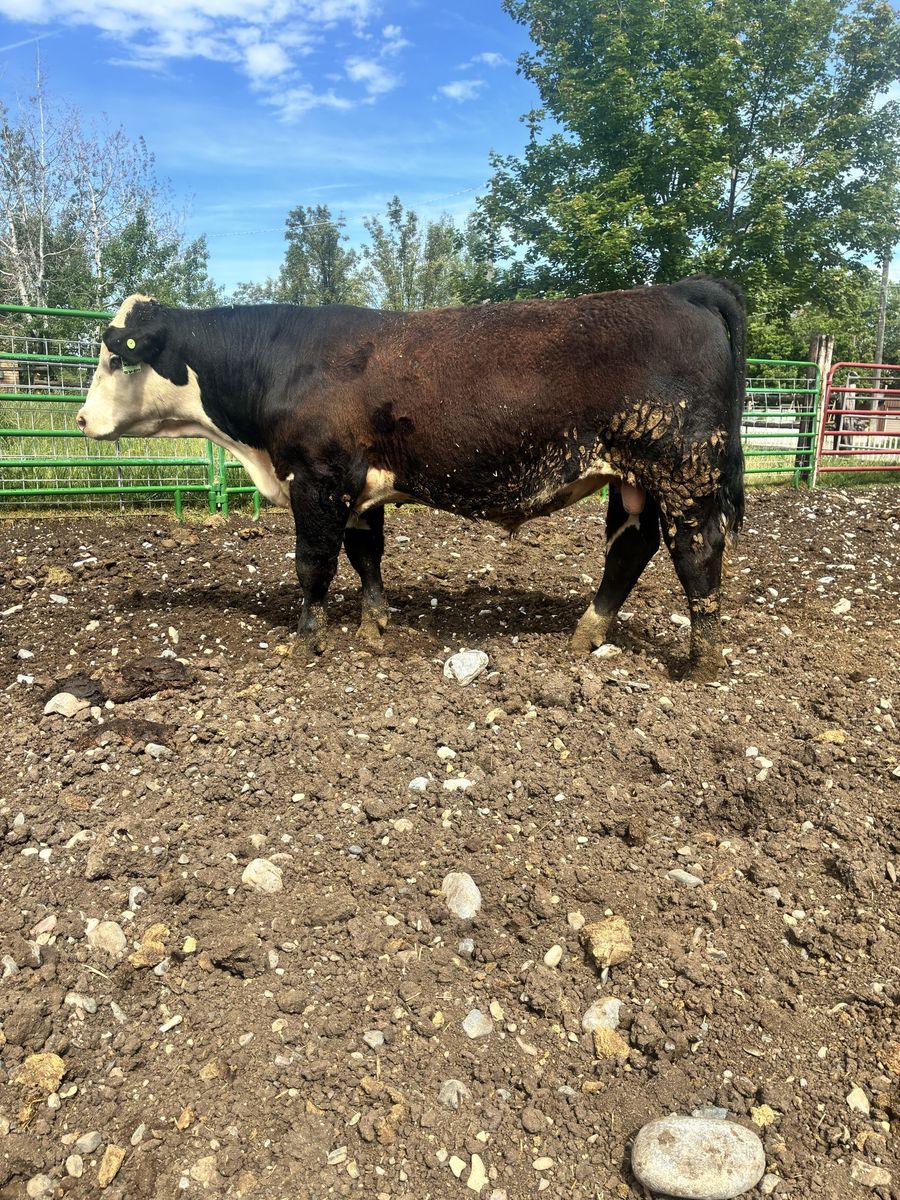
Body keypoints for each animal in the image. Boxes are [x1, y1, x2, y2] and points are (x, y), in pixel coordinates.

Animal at [77, 277, 745, 678]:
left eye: (115, 357)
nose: (82, 419)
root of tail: (683, 289)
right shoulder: (359, 486)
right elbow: (366, 555)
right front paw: (375, 625)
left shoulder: (317, 479)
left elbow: (313, 563)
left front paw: (307, 640)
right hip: (635, 480)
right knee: (631, 548)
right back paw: (587, 634)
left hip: (684, 472)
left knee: (697, 556)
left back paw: (702, 662)